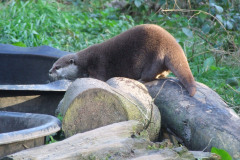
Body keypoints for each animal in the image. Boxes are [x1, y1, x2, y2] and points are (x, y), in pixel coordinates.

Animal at [49, 23, 197, 96]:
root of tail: (172, 45)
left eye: (57, 67)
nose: (49, 71)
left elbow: (98, 79)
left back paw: (140, 80)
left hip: (155, 57)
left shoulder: (98, 65)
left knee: (149, 75)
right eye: (53, 65)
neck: (84, 62)